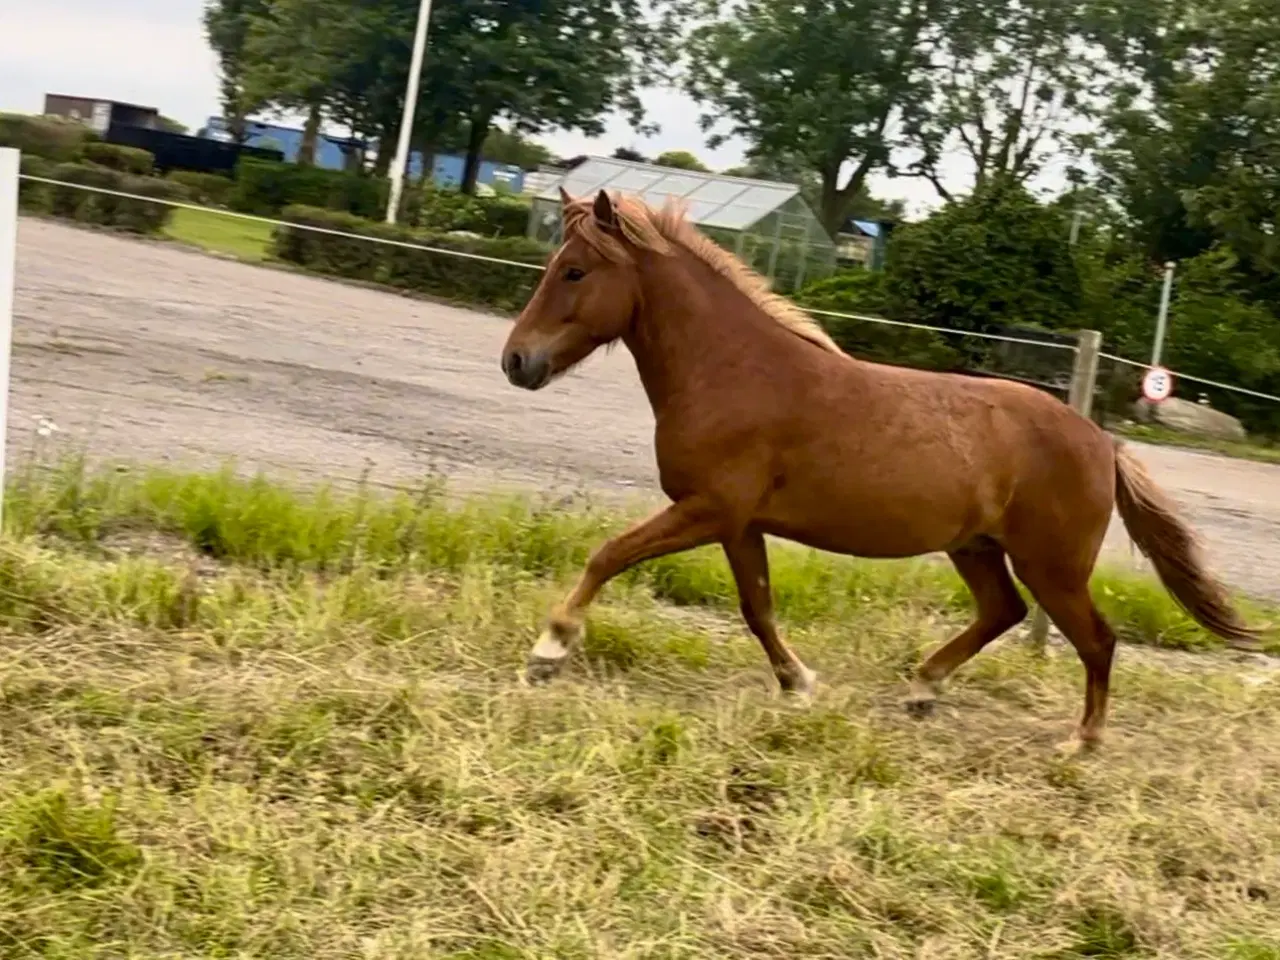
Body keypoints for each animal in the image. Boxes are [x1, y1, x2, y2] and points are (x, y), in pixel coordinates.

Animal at [494, 188, 1254, 757]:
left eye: (574, 272)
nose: (517, 362)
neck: (733, 372)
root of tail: (1103, 442)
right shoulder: (738, 525)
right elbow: (758, 609)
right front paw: (800, 684)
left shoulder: (707, 510)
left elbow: (609, 554)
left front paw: (548, 651)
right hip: (976, 548)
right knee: (1002, 612)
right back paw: (923, 689)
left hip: (1052, 566)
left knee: (1096, 639)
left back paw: (1082, 742)